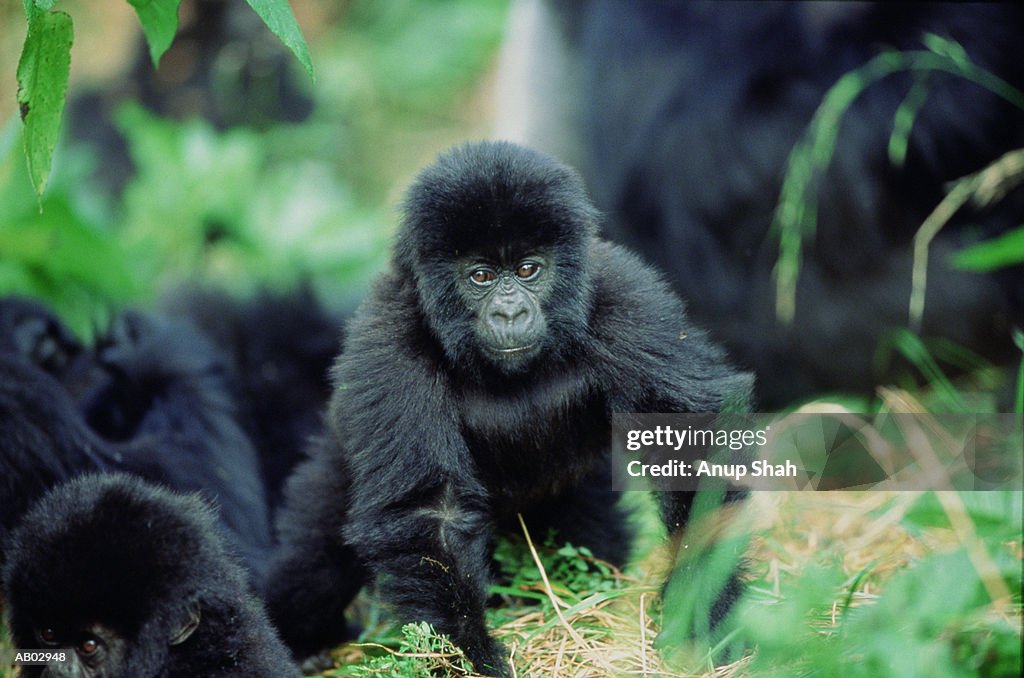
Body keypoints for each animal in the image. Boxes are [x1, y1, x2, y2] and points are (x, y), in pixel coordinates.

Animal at [264, 140, 753, 675]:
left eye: (526, 270)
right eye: (480, 275)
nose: (510, 311)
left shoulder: (627, 298)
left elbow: (687, 442)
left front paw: (704, 602)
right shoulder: (389, 335)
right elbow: (430, 510)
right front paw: (467, 654)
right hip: (335, 464)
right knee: (316, 564)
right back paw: (306, 639)